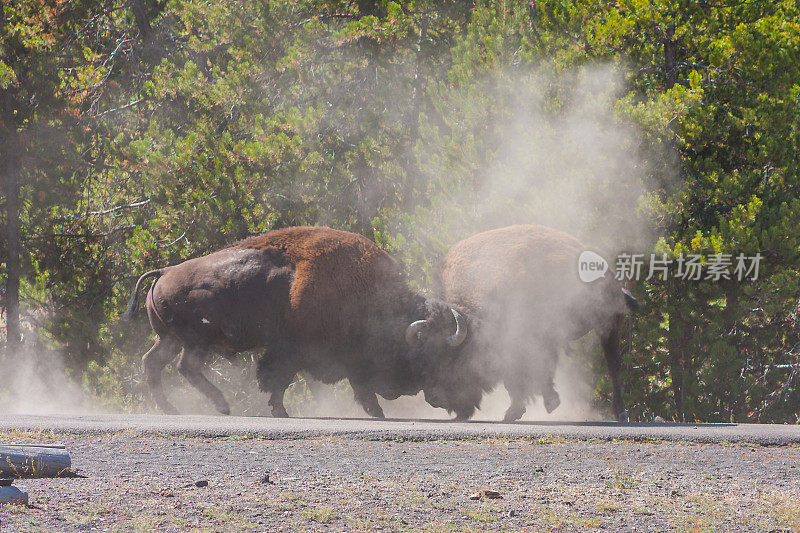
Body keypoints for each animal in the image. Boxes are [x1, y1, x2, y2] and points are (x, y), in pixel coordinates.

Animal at [122, 224, 466, 416]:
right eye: (423, 354)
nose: (426, 394)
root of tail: (165, 272)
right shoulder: (295, 349)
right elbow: (279, 378)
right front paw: (280, 411)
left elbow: (353, 386)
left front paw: (377, 413)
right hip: (196, 342)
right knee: (185, 367)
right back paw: (221, 406)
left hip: (169, 339)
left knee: (153, 363)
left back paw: (171, 408)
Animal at [406, 223, 636, 420]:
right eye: (424, 356)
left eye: (451, 358)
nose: (433, 398)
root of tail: (610, 275)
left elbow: (524, 375)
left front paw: (530, 407)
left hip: (608, 325)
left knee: (614, 366)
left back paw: (621, 413)